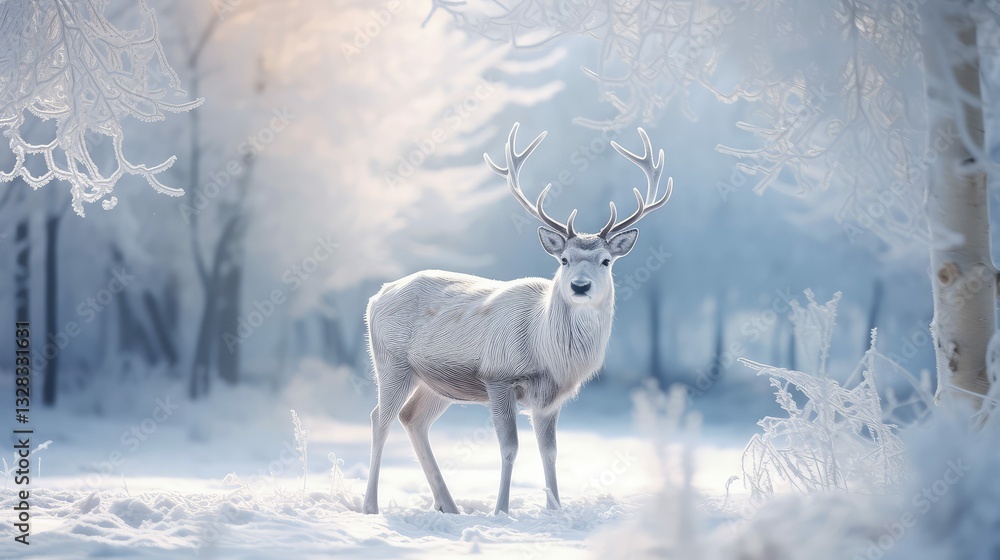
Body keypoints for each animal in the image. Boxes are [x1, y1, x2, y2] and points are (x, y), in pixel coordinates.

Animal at [362, 123, 673, 515]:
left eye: (606, 260)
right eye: (564, 259)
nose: (580, 286)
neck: (547, 350)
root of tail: (376, 297)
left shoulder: (550, 397)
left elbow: (550, 451)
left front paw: (555, 509)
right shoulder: (498, 376)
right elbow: (510, 447)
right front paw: (501, 511)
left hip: (435, 381)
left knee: (412, 419)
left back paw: (449, 506)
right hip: (391, 362)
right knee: (380, 418)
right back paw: (371, 507)